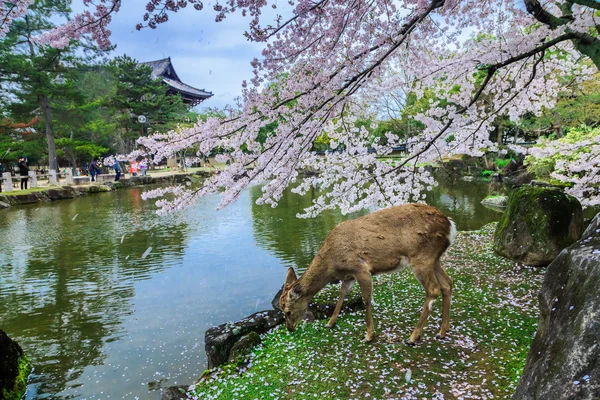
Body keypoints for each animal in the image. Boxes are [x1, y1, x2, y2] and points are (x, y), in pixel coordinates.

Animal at [278, 203, 458, 344]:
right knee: (447, 283)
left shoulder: (361, 268)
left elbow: (366, 300)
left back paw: (413, 337)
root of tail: (450, 226)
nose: (289, 328)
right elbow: (341, 296)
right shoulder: (348, 276)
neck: (331, 265)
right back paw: (442, 332)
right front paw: (330, 323)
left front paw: (369, 335)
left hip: (421, 257)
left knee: (433, 289)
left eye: (287, 311)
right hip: (434, 259)